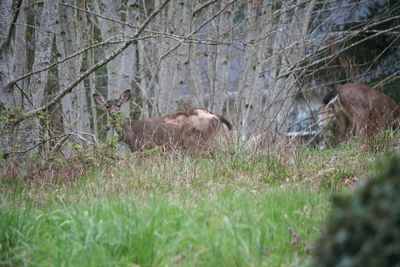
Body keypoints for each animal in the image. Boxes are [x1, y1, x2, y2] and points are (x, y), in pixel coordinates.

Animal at [92, 89, 233, 154]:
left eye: (119, 105)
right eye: (107, 106)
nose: (113, 113)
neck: (131, 133)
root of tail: (215, 116)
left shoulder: (144, 147)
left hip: (197, 140)